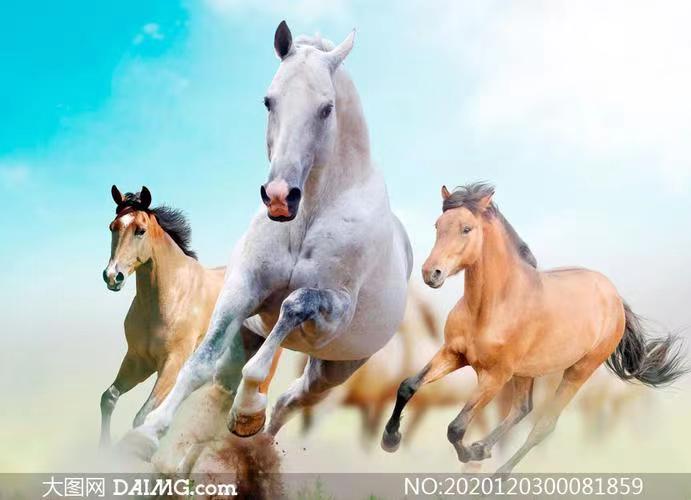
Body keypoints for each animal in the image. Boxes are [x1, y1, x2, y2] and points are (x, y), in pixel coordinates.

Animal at [101, 186, 281, 447]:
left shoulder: (173, 363)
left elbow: (143, 415)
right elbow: (109, 397)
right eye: (112, 227)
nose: (113, 276)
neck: (171, 296)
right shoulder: (138, 360)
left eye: (140, 230)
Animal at [121, 21, 412, 460]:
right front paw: (149, 432)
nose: (279, 196)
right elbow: (200, 362)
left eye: (327, 108)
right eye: (268, 101)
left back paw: (253, 434)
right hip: (253, 336)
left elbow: (291, 309)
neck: (307, 217)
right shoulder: (243, 288)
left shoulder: (331, 314)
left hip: (332, 370)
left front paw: (247, 410)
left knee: (290, 401)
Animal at [381, 182, 686, 473]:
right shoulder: (453, 354)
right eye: (438, 225)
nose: (430, 273)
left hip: (578, 371)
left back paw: (497, 476)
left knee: (543, 425)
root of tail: (614, 297)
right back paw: (483, 447)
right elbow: (408, 386)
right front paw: (390, 440)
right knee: (522, 409)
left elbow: (456, 428)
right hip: (527, 371)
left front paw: (470, 455)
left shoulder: (494, 376)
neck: (491, 307)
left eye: (466, 229)